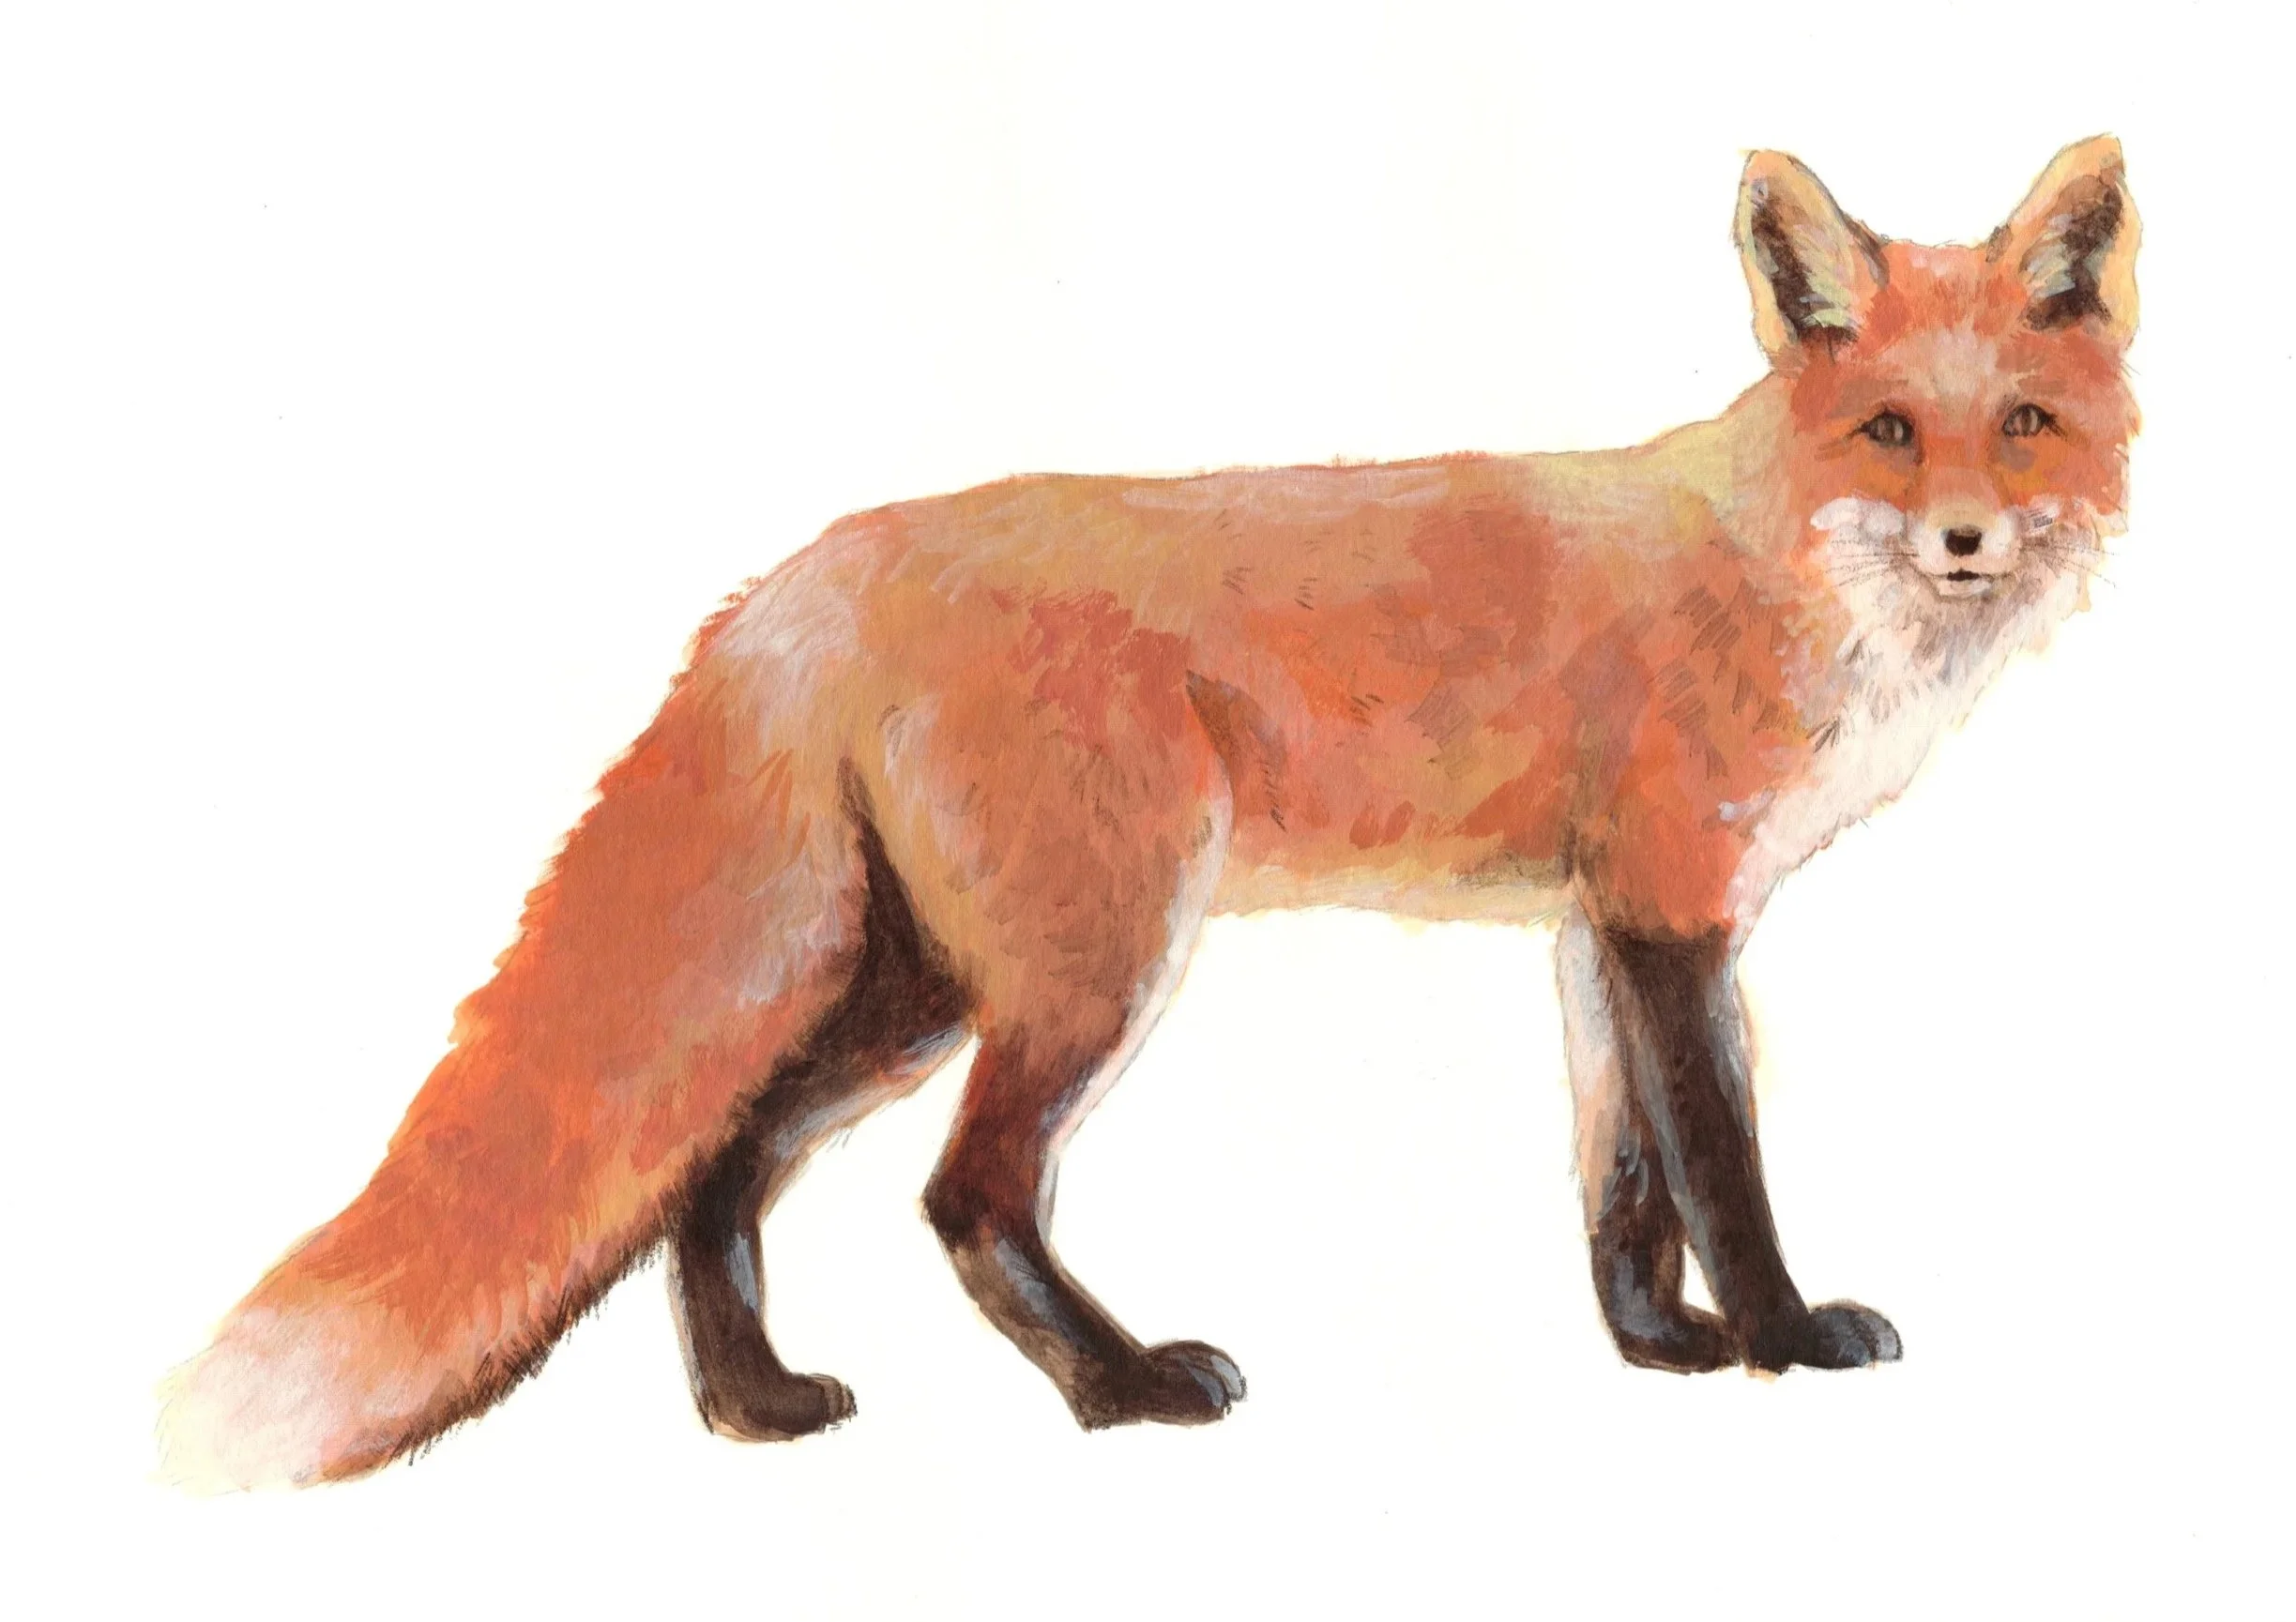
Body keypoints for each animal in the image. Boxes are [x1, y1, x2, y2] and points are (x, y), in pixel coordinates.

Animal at [161, 137, 2138, 1489]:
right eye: (1889, 432)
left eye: (2021, 425)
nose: (1968, 536)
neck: (1788, 575)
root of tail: (807, 572)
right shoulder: (1669, 900)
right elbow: (1718, 1158)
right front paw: (1783, 1340)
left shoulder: (1602, 917)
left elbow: (1619, 1180)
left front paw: (1661, 1348)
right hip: (1091, 961)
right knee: (963, 1193)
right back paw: (1117, 1389)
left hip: (916, 985)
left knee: (710, 1163)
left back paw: (753, 1403)